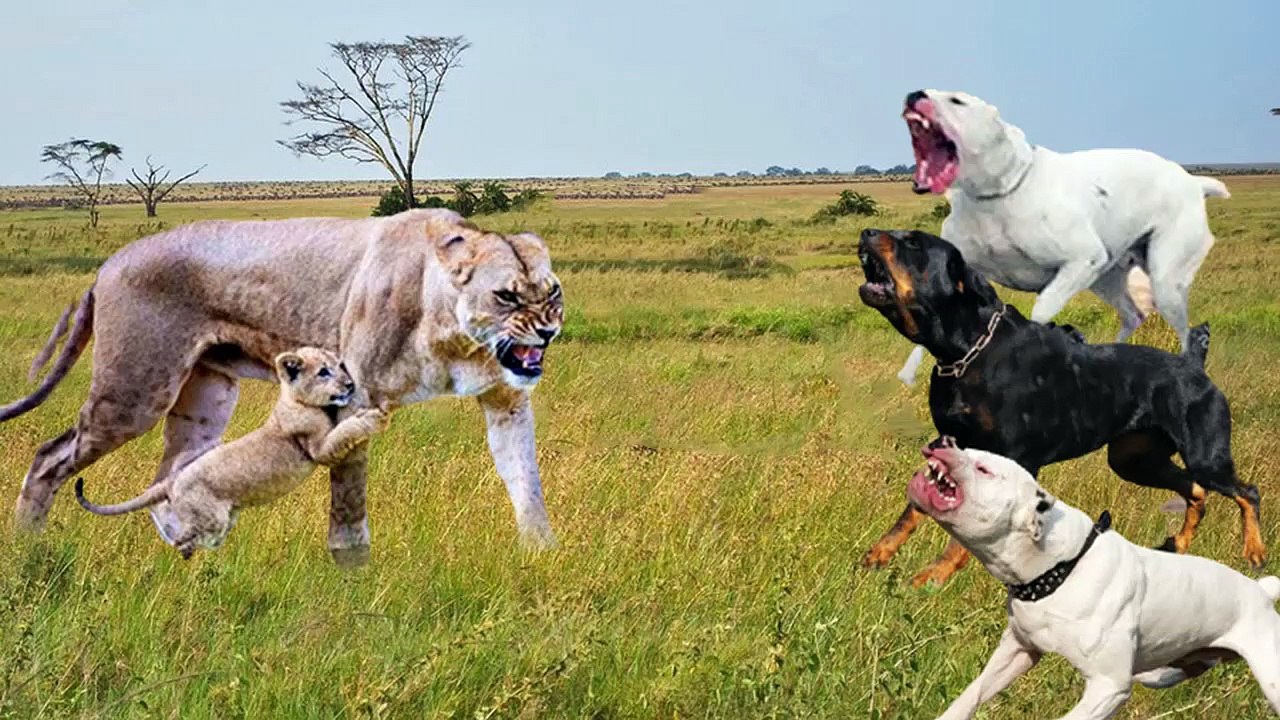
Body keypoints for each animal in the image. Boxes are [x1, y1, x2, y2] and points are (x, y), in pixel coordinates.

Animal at [74, 347, 388, 558]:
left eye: (340, 366)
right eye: (323, 371)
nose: (350, 384)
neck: (303, 401)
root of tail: (172, 480)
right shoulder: (317, 449)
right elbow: (343, 432)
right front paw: (373, 417)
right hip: (211, 514)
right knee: (187, 535)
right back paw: (189, 549)